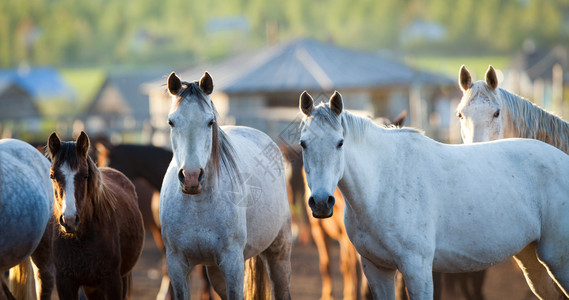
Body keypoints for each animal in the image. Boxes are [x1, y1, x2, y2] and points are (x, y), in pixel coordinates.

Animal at [47, 132, 144, 298]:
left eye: (85, 176)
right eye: (52, 176)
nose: (70, 220)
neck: (81, 239)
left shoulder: (113, 281)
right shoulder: (65, 282)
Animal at [160, 71, 292, 298]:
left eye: (210, 121)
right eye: (171, 122)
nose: (192, 176)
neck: (197, 207)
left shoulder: (233, 263)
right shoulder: (176, 265)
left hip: (278, 255)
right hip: (215, 271)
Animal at [298, 91, 568, 300]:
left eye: (340, 142)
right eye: (303, 143)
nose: (321, 202)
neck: (382, 184)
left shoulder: (417, 269)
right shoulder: (376, 269)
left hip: (558, 259)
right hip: (532, 259)